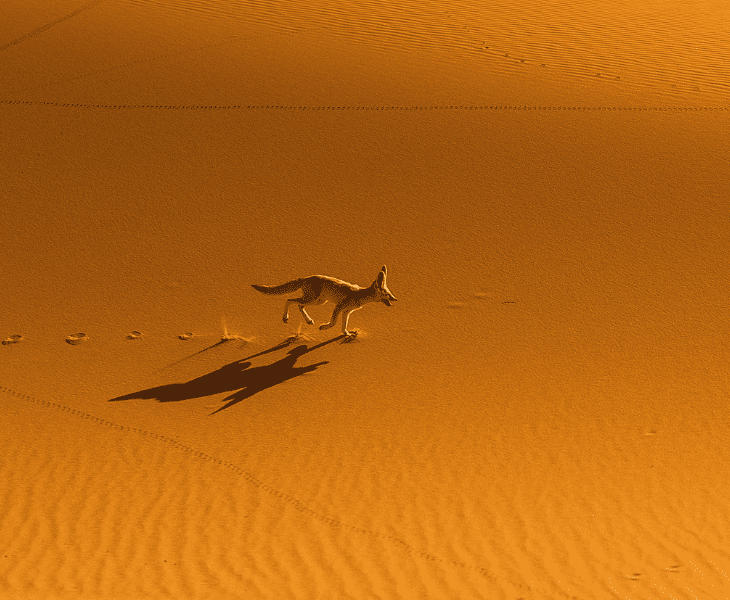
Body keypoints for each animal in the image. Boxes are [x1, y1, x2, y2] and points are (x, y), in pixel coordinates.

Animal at [252, 266, 397, 337]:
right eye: (388, 294)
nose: (395, 299)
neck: (360, 294)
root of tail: (306, 277)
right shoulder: (339, 307)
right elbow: (333, 323)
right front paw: (324, 327)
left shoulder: (346, 311)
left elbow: (344, 325)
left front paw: (347, 334)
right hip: (313, 300)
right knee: (289, 299)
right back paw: (285, 317)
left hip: (318, 301)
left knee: (299, 305)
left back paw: (308, 320)